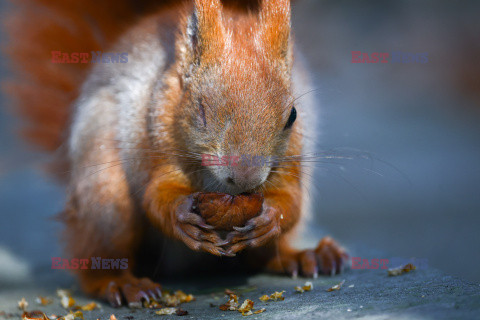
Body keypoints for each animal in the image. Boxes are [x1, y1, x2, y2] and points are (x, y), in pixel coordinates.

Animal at [4, 0, 348, 308]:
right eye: (200, 110)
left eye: (292, 115)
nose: (245, 179)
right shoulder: (156, 140)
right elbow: (157, 196)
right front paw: (181, 216)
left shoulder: (289, 160)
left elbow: (291, 200)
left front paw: (269, 219)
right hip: (106, 197)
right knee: (98, 258)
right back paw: (120, 283)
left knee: (263, 258)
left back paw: (304, 256)